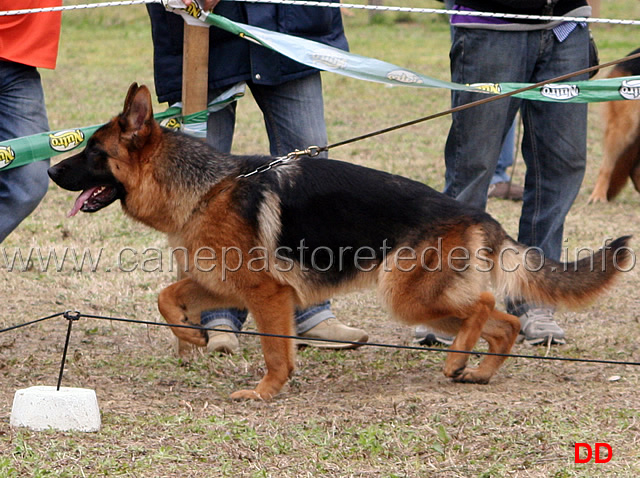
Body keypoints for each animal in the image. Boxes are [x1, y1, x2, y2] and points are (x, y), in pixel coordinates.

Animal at [48, 85, 632, 400]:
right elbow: (167, 297)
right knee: (504, 321)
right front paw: (192, 337)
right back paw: (479, 371)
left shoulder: (267, 295)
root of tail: (482, 215)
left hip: (407, 296)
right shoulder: (224, 283)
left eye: (93, 154)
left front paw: (265, 392)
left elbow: (275, 351)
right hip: (425, 300)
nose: (51, 170)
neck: (206, 186)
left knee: (486, 305)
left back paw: (456, 360)